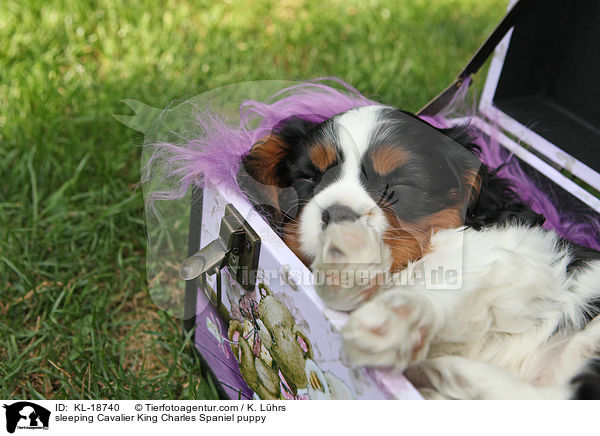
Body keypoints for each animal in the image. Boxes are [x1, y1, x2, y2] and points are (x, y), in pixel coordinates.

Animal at [236, 104, 600, 398]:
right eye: (310, 177)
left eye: (399, 187)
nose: (339, 214)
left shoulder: (522, 257)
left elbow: (445, 277)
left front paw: (392, 318)